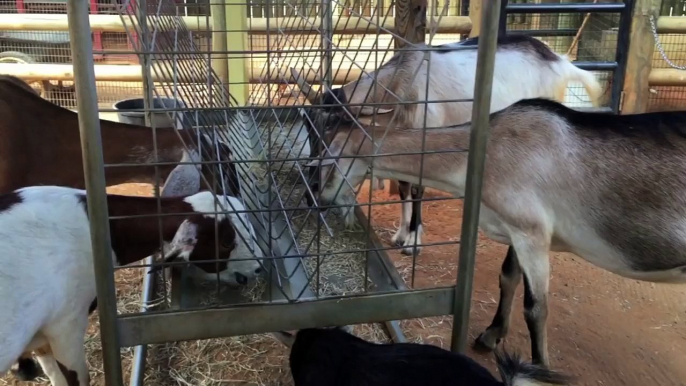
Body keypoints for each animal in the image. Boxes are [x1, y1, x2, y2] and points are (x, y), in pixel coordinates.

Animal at [292, 34, 604, 255]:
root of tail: (559, 61)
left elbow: (416, 188)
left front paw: (414, 242)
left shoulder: (425, 136)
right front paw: (401, 234)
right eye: (309, 130)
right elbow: (403, 186)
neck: (404, 84)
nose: (310, 195)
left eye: (334, 130)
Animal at [310, 98, 686, 366]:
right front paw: (491, 335)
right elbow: (507, 277)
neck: (486, 153)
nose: (315, 197)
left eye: (325, 158)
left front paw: (539, 368)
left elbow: (536, 308)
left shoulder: (533, 232)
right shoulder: (516, 228)